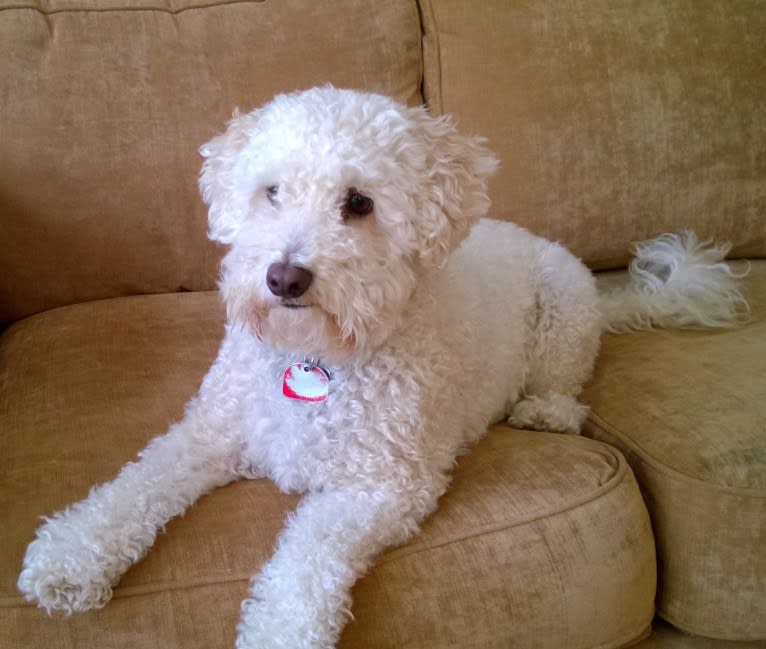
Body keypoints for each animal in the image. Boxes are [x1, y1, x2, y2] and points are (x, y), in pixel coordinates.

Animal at [19, 86, 752, 648]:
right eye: (271, 192)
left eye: (359, 203)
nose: (284, 278)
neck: (318, 354)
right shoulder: (208, 432)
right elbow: (134, 486)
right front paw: (69, 556)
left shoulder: (381, 487)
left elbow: (306, 561)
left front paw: (280, 630)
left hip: (564, 308)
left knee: (566, 386)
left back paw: (544, 410)